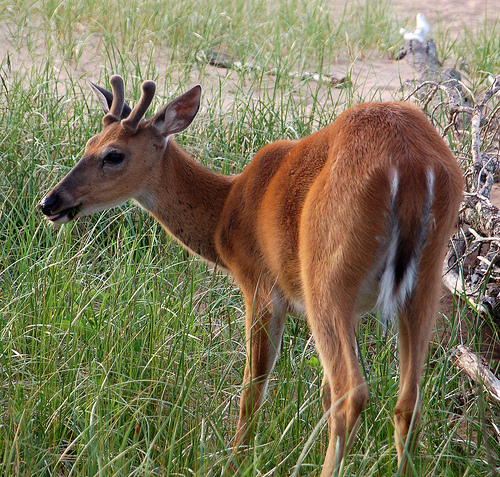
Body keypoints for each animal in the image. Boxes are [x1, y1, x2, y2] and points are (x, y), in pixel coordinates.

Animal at [40, 74, 464, 472]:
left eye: (113, 155)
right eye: (88, 144)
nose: (50, 202)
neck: (225, 213)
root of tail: (410, 165)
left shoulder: (259, 284)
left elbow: (253, 387)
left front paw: (234, 460)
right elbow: (318, 391)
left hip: (327, 276)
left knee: (351, 391)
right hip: (425, 281)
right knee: (407, 400)